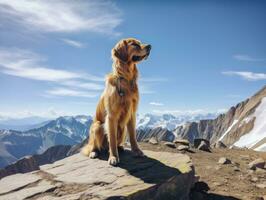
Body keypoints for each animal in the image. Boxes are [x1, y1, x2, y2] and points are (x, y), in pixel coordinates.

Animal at [82, 37, 151, 166]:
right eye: (134, 44)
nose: (150, 46)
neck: (126, 79)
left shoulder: (132, 113)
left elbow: (133, 136)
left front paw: (137, 151)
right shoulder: (111, 116)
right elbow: (112, 139)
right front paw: (113, 157)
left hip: (122, 128)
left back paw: (120, 148)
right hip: (97, 126)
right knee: (94, 145)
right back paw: (94, 152)